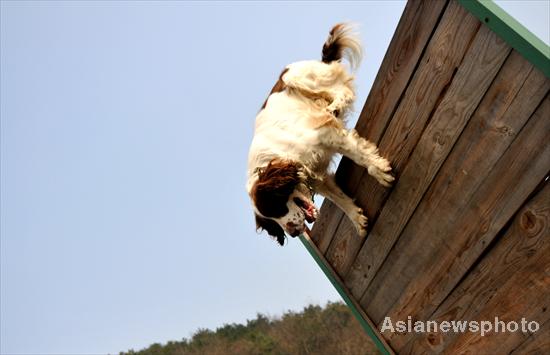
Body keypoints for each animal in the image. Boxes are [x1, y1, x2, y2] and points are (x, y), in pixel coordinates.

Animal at [248, 23, 394, 246]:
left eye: (276, 207)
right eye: (271, 221)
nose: (293, 233)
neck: (278, 156)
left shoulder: (326, 135)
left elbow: (361, 157)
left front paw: (380, 171)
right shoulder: (317, 175)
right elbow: (338, 199)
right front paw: (357, 219)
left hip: (297, 77)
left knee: (342, 91)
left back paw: (334, 106)